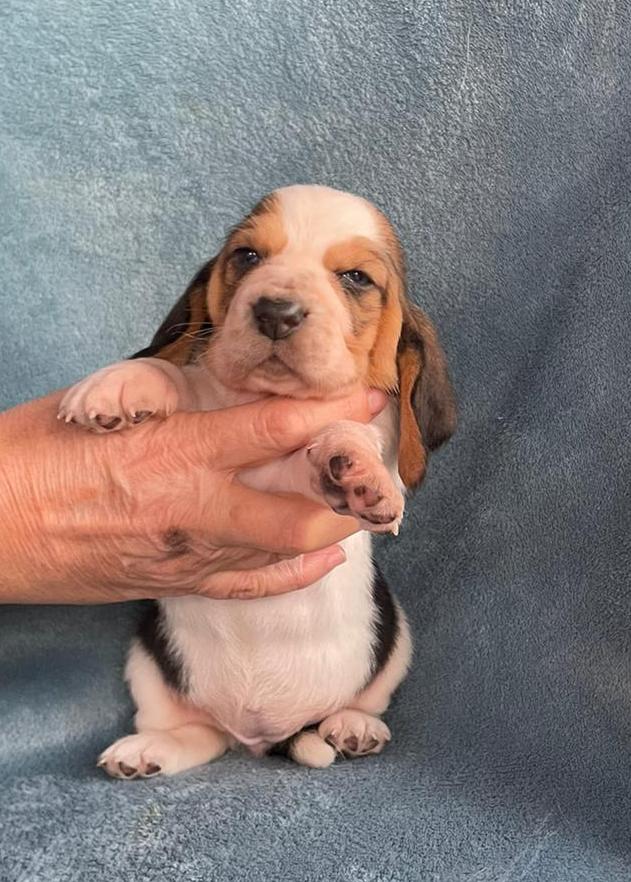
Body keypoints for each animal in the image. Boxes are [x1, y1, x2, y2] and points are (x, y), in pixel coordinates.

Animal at [59, 184, 456, 768]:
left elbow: (340, 436)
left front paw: (354, 466)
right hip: (146, 661)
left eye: (356, 278)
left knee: (362, 702)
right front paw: (122, 382)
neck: (267, 398)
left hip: (396, 641)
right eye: (247, 257)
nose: (276, 312)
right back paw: (149, 750)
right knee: (197, 735)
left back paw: (353, 726)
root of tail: (260, 735)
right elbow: (177, 369)